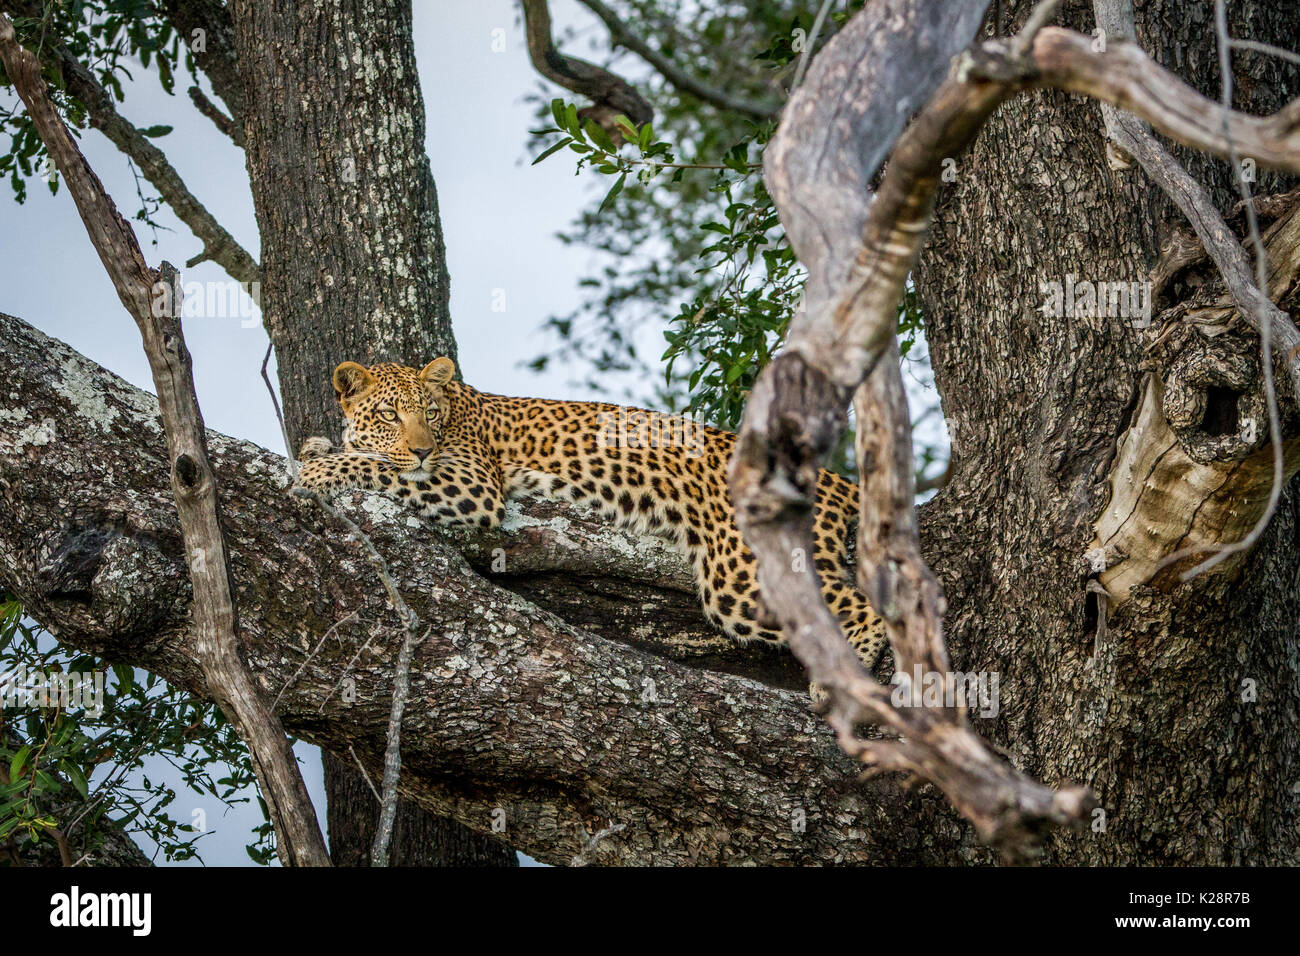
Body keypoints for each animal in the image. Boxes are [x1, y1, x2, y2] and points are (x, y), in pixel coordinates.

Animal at [294, 358, 888, 678]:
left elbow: (375, 466)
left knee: (861, 609)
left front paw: (314, 469)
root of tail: (836, 479)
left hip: (742, 577)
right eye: (389, 414)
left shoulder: (472, 484)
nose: (420, 449)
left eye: (429, 413)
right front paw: (318, 447)